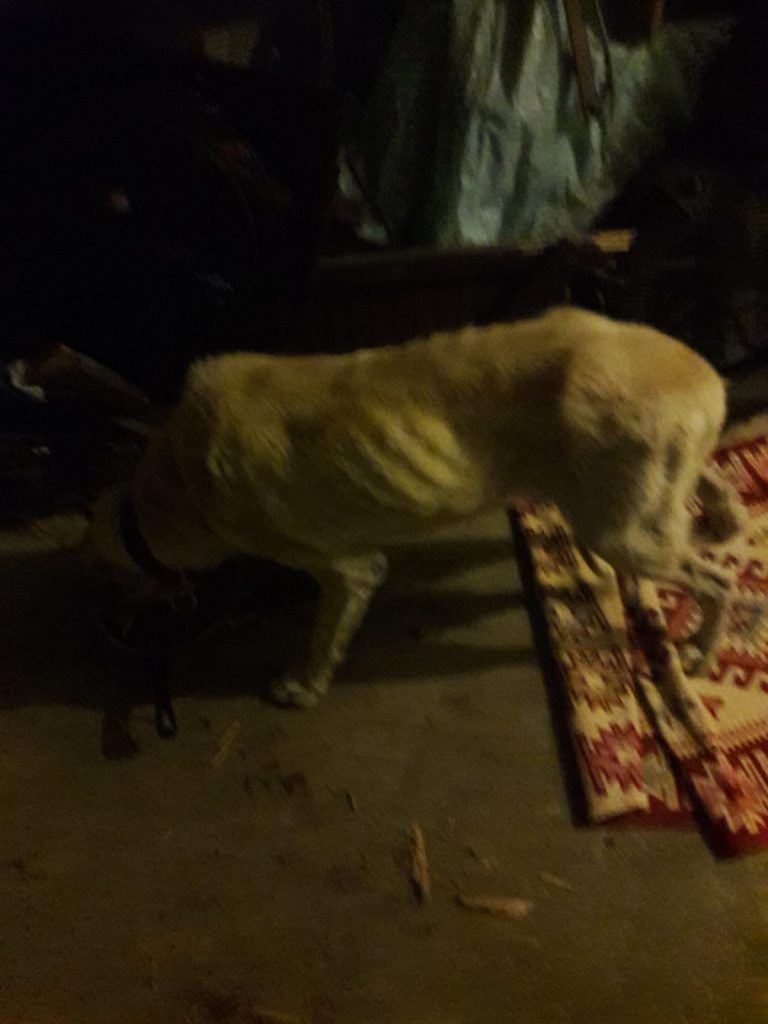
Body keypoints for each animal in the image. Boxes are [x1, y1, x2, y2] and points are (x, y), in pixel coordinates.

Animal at [85, 306, 744, 707]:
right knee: (705, 490)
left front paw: (303, 686)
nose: (109, 631)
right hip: (633, 503)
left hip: (622, 532)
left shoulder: (348, 570)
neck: (176, 474)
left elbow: (324, 636)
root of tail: (708, 381)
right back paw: (723, 518)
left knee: (719, 581)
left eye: (106, 578)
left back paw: (698, 649)